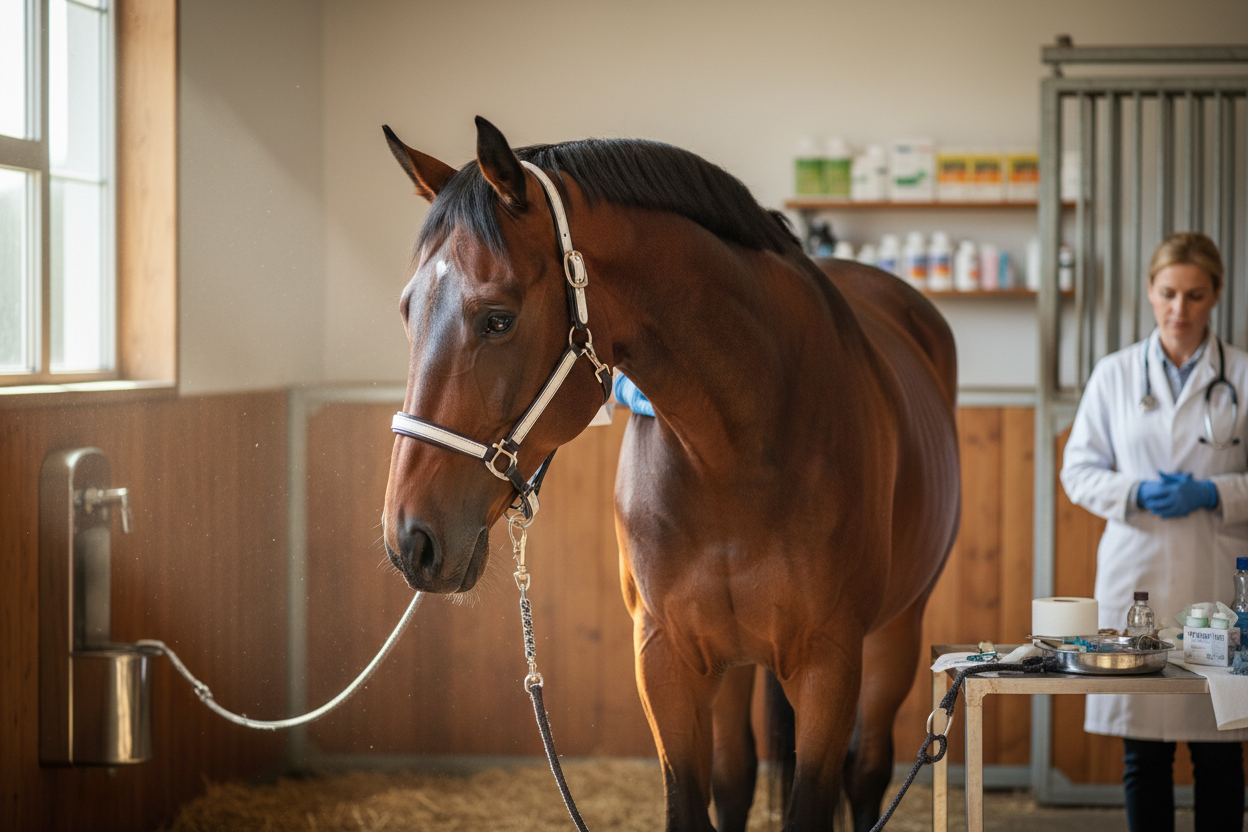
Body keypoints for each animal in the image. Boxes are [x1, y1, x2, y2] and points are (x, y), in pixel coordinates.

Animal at [381, 116, 960, 832]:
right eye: (408, 311)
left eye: (497, 318)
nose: (410, 540)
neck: (736, 449)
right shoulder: (665, 658)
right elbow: (693, 801)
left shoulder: (830, 662)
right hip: (735, 659)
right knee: (737, 776)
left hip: (894, 636)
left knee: (869, 771)